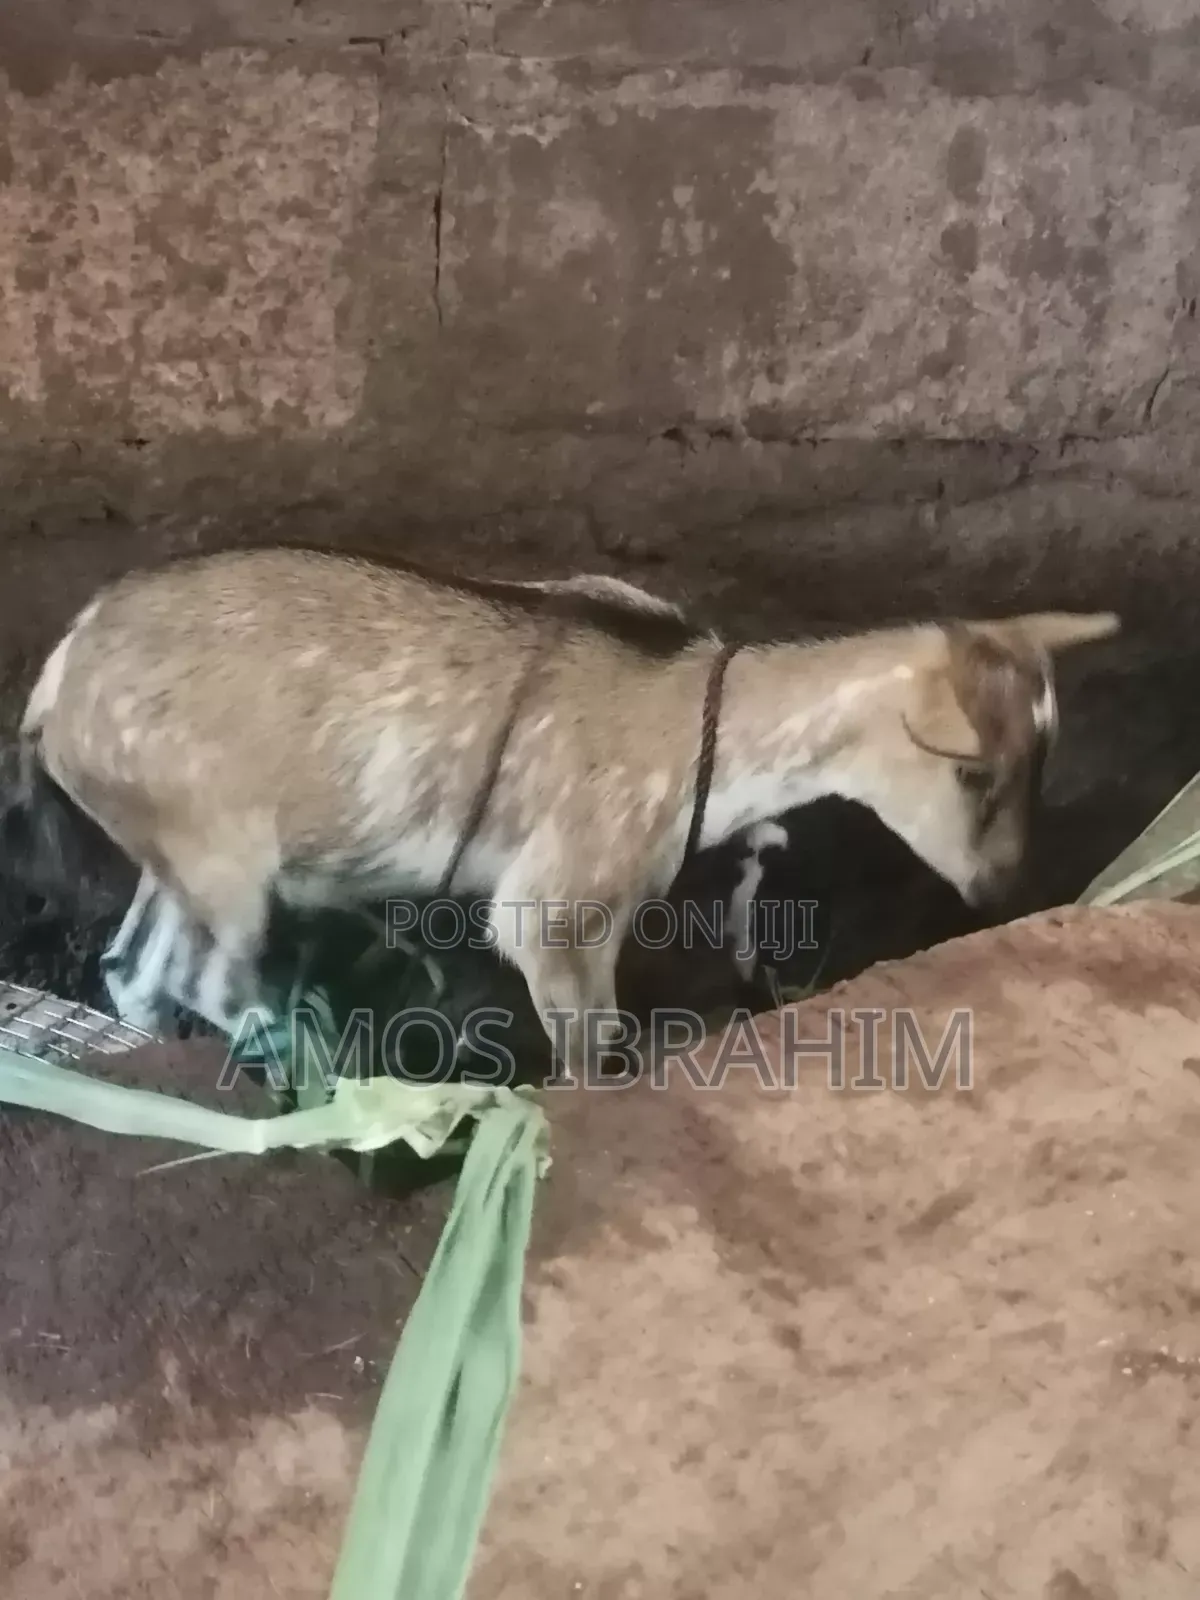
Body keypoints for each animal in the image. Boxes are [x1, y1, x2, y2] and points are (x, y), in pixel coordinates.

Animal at [12, 544, 1118, 1080]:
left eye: (1043, 762)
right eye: (973, 774)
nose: (1000, 887)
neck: (694, 721)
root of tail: (59, 679)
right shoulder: (562, 903)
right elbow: (592, 1046)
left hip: (173, 840)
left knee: (136, 966)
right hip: (221, 843)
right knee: (207, 972)